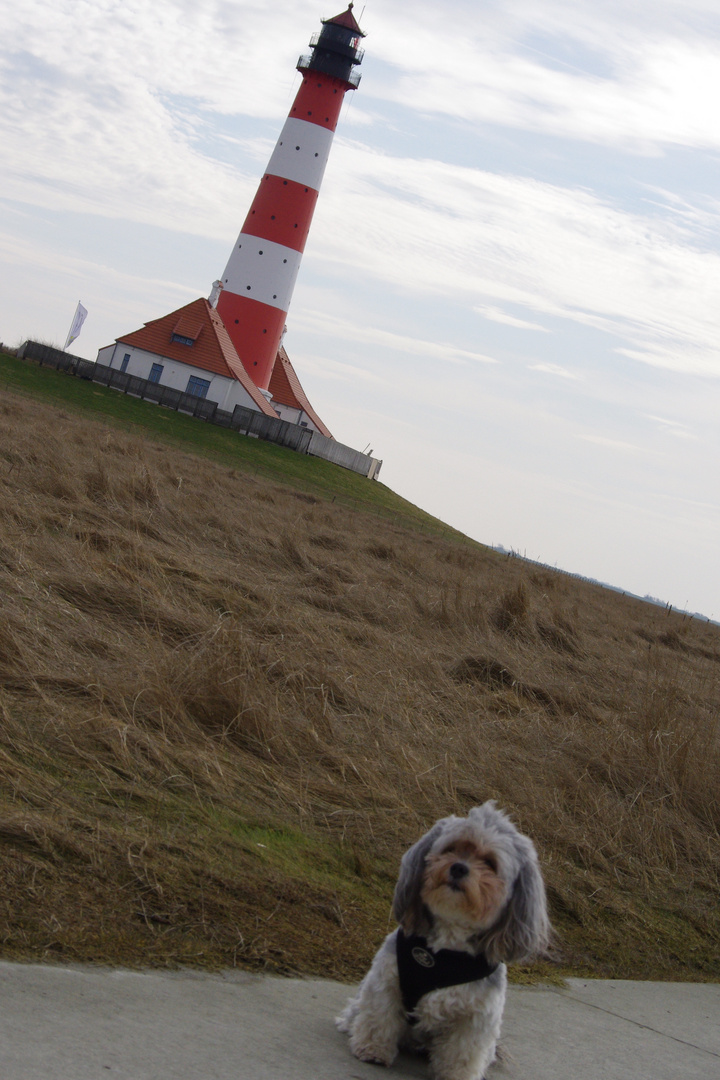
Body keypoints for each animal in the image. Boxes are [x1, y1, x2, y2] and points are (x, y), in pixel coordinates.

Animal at [338, 803, 552, 1080]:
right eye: (451, 848)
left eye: (490, 862)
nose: (459, 868)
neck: (445, 950)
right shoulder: (386, 981)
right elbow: (379, 1017)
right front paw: (372, 1048)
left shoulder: (476, 1016)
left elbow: (462, 1051)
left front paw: (456, 1075)